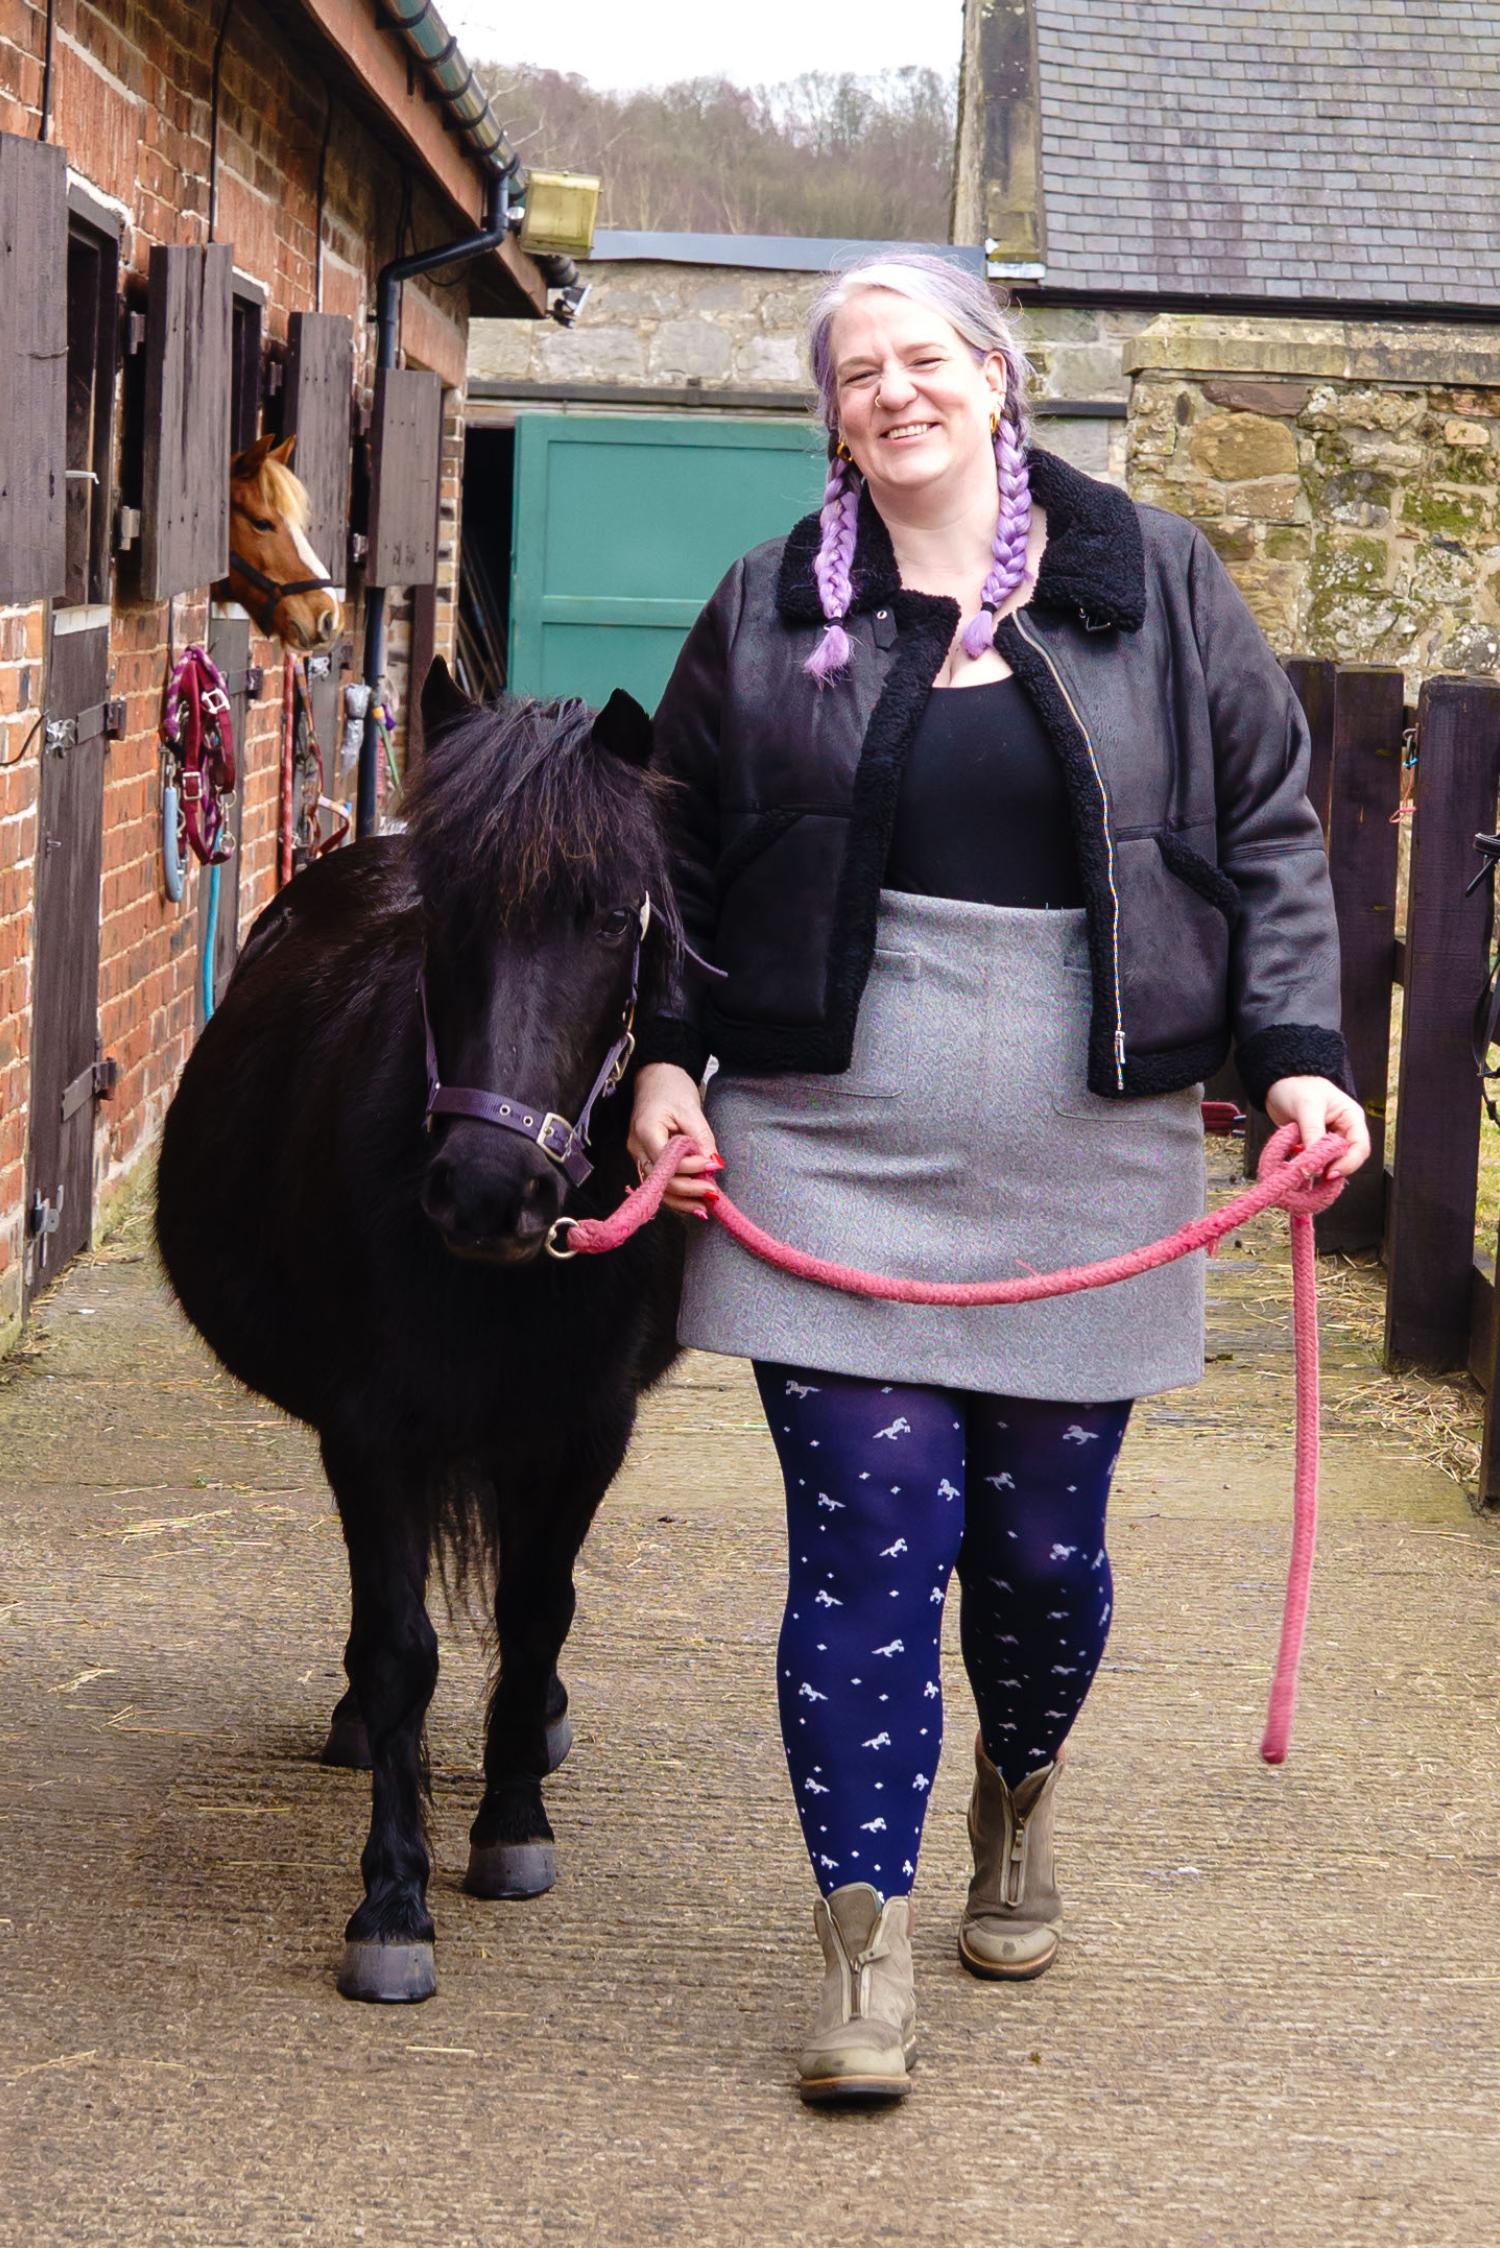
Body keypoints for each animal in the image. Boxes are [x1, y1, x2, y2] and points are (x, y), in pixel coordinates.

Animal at [154, 660, 686, 2003]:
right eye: (446, 914)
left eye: (614, 919)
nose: (491, 1193)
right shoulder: (372, 1432)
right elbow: (403, 1649)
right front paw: (392, 1904)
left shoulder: (584, 1431)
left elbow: (538, 1611)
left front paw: (510, 1828)